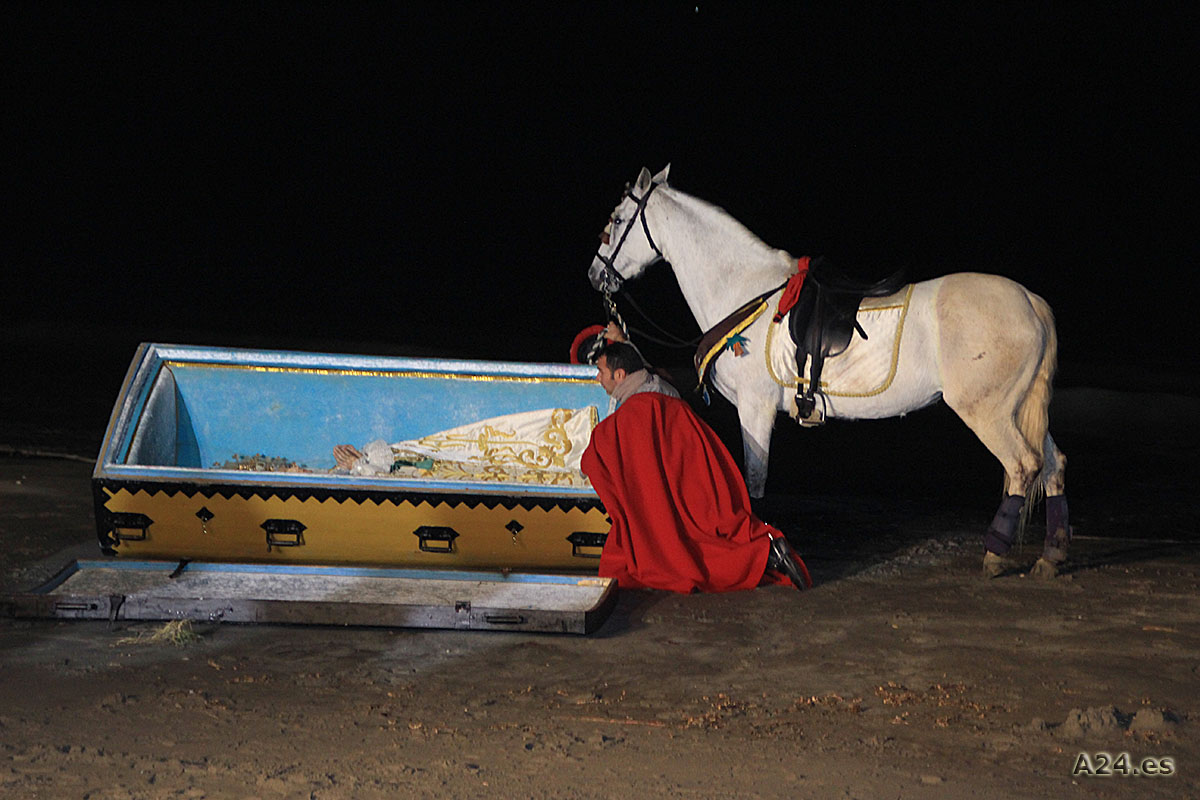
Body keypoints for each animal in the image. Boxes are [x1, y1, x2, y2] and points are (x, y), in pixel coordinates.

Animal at [590, 165, 1070, 578]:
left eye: (617, 219)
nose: (596, 274)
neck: (747, 292)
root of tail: (1031, 303)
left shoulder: (755, 408)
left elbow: (754, 481)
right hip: (1021, 409)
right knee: (1052, 465)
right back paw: (1052, 556)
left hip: (988, 412)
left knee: (1024, 465)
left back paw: (996, 553)